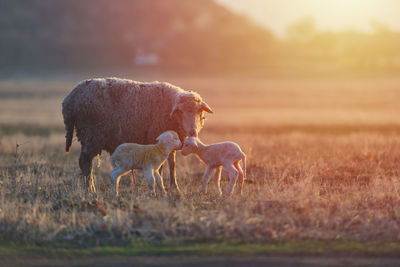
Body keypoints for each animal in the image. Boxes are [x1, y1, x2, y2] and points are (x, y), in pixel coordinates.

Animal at [61, 77, 212, 193]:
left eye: (199, 111)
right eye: (180, 111)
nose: (192, 132)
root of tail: (69, 100)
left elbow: (172, 164)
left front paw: (175, 187)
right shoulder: (156, 138)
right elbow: (161, 166)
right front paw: (161, 187)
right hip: (91, 135)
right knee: (85, 162)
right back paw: (90, 189)